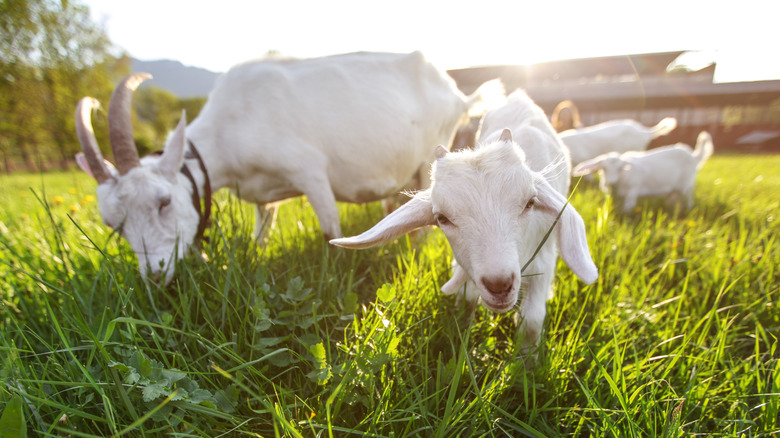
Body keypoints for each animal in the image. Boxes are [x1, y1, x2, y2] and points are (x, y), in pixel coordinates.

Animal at [76, 51, 496, 284]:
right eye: (113, 225)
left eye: (163, 201)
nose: (156, 275)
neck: (229, 125)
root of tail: (459, 96)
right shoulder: (263, 197)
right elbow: (261, 234)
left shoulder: (310, 171)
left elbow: (330, 229)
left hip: (430, 155)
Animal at [330, 90, 596, 350]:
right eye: (442, 218)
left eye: (530, 202)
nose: (499, 285)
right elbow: (467, 298)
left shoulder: (545, 257)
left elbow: (531, 320)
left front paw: (527, 357)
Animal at [568, 130, 716, 212]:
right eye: (603, 168)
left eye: (620, 168)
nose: (611, 182)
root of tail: (694, 156)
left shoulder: (633, 191)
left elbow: (627, 209)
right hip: (672, 190)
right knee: (674, 201)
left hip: (687, 186)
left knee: (689, 199)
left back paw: (688, 209)